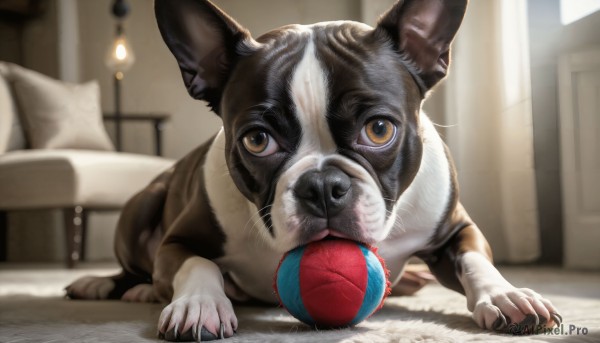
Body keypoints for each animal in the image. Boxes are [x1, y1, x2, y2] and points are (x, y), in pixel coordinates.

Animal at [67, 0, 564, 342]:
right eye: (257, 140)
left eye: (379, 129)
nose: (323, 186)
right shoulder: (179, 240)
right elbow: (197, 263)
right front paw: (198, 304)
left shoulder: (455, 227)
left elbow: (476, 259)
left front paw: (506, 294)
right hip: (141, 206)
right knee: (134, 266)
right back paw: (113, 285)